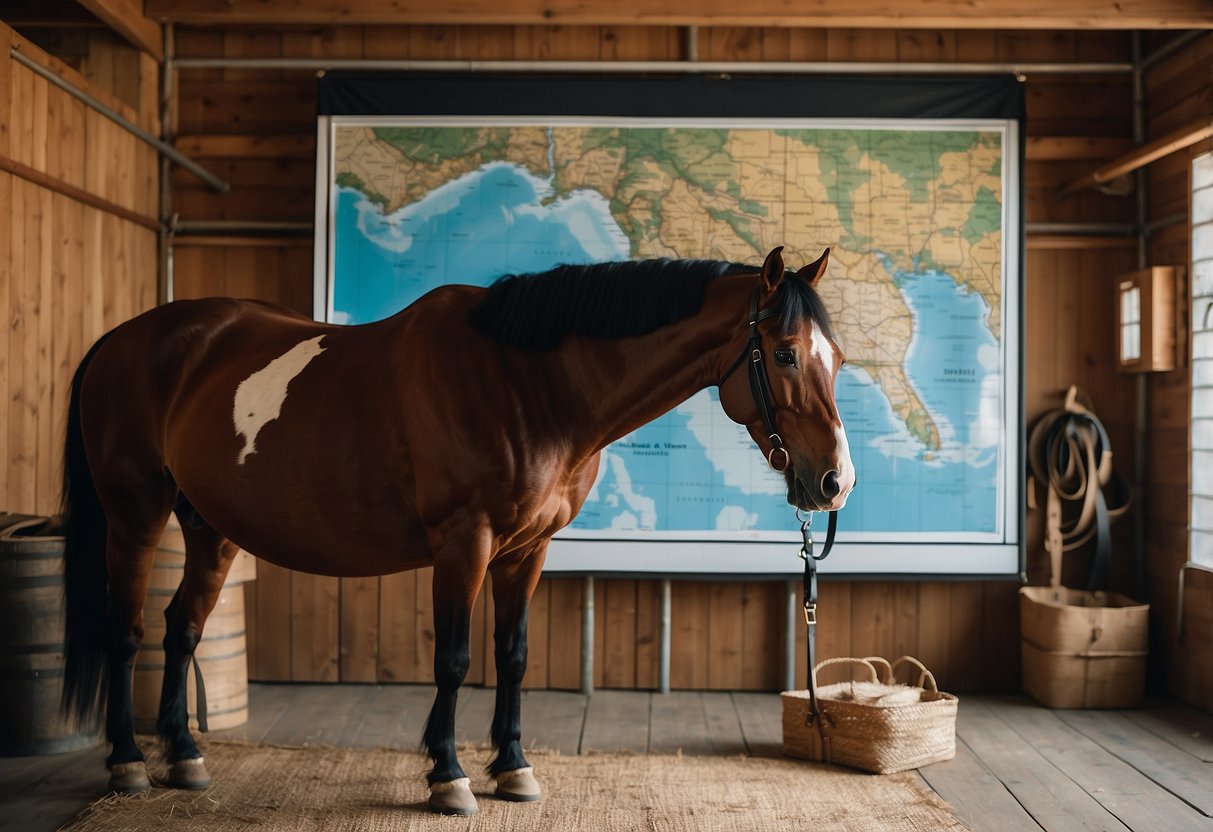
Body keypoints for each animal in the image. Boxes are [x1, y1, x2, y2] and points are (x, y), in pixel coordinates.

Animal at [57, 244, 853, 819]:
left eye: (837, 358)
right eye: (785, 352)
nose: (834, 483)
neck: (527, 384)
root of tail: (122, 340)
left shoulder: (527, 551)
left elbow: (513, 656)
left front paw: (514, 769)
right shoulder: (462, 544)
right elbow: (454, 659)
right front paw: (448, 777)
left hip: (210, 528)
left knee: (182, 628)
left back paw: (185, 756)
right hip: (135, 515)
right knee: (127, 632)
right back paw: (128, 762)